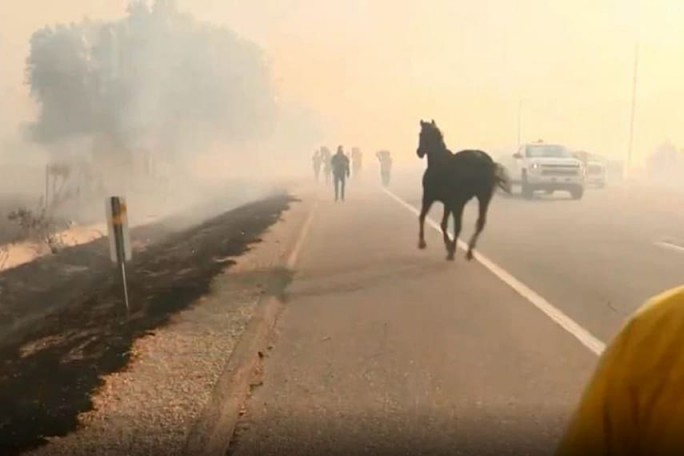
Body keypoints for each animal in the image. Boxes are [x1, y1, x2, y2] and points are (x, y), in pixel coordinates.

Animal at [414, 118, 510, 260]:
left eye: (421, 134)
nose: (419, 152)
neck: (439, 162)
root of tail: (489, 163)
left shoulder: (429, 197)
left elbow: (423, 217)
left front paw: (423, 243)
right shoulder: (448, 203)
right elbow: (443, 224)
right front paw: (448, 246)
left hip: (461, 202)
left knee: (460, 226)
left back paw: (454, 252)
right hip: (483, 198)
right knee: (479, 223)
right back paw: (468, 251)